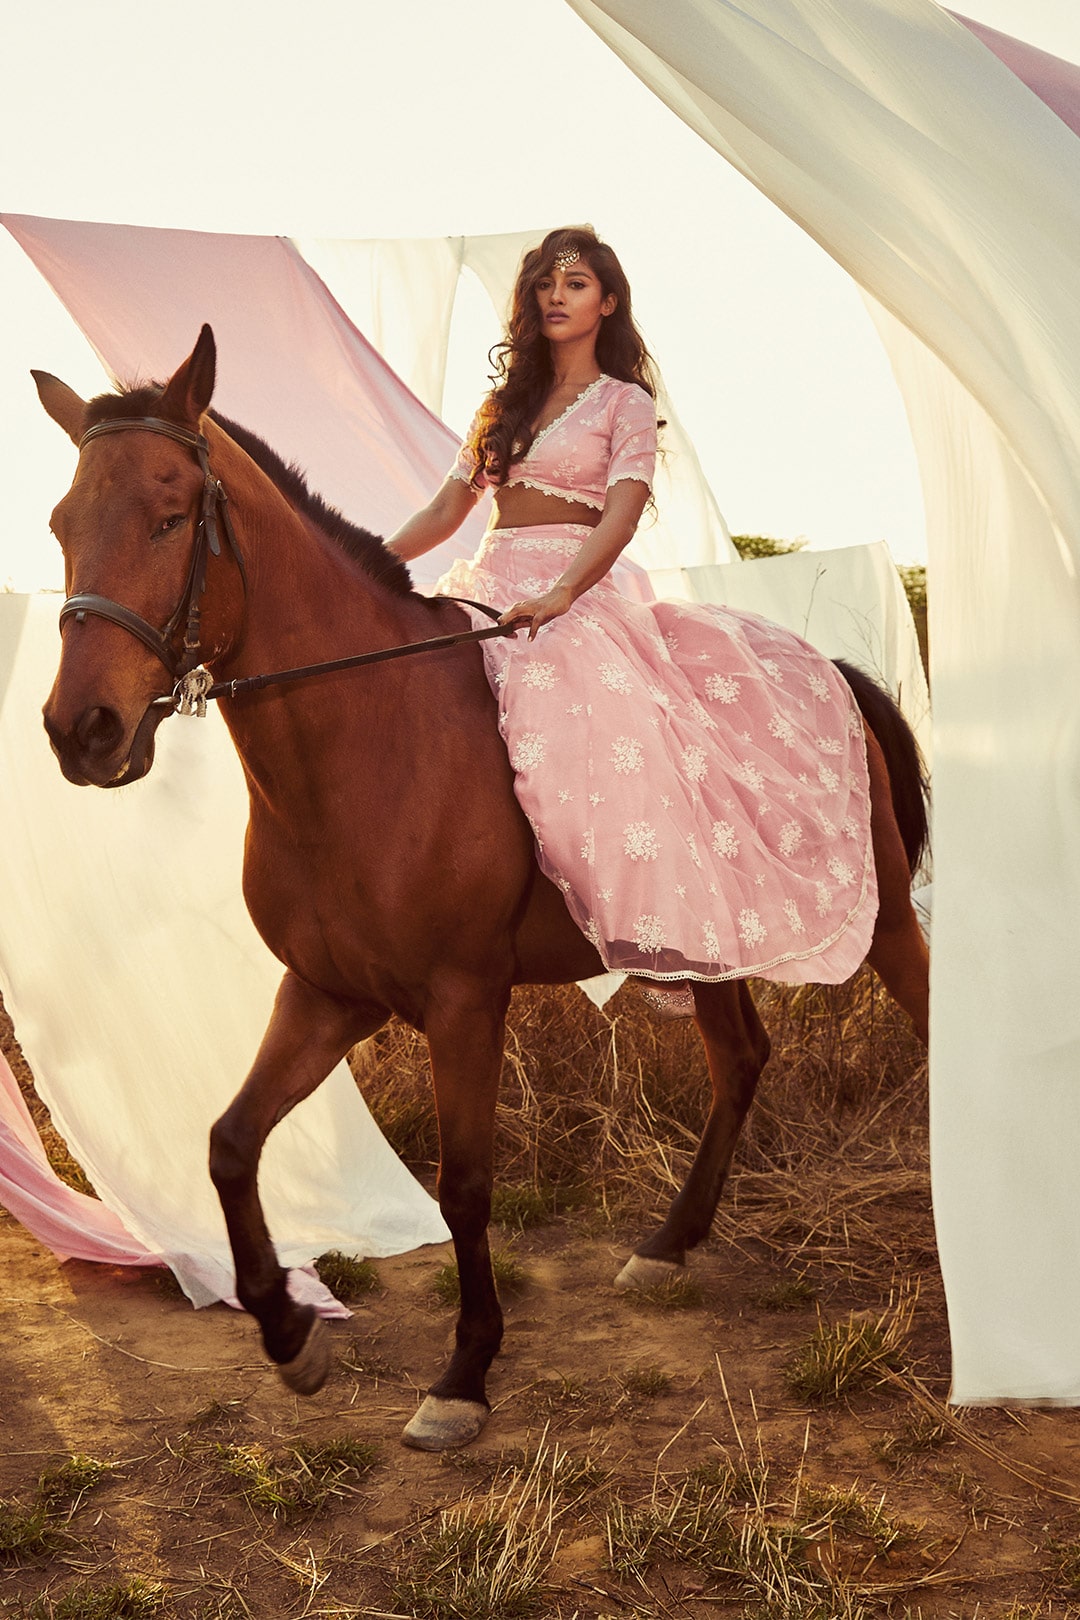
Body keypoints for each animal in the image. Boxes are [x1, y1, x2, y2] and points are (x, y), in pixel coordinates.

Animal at [33, 322, 932, 1451]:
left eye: (169, 516)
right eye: (62, 521)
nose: (80, 732)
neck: (370, 735)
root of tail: (835, 672)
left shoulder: (465, 1000)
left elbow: (463, 1186)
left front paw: (463, 1375)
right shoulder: (329, 993)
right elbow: (230, 1143)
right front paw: (289, 1333)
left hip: (883, 921)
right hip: (708, 938)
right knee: (741, 1060)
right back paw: (669, 1244)